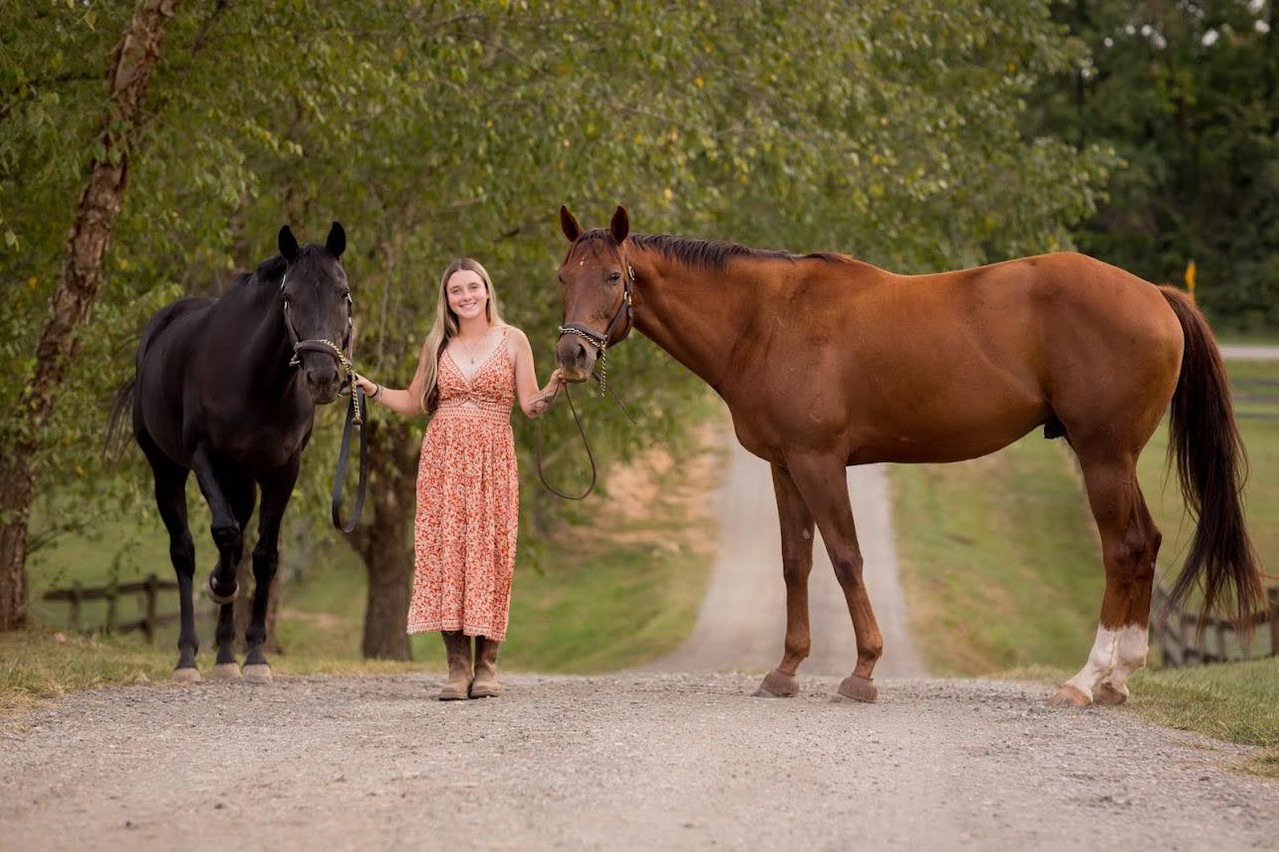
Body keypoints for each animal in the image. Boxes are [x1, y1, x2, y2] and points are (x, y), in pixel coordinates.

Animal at [107, 223, 354, 683]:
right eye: (289, 297)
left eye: (343, 293)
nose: (323, 377)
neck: (257, 382)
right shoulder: (206, 457)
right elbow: (224, 535)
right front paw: (220, 586)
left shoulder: (283, 470)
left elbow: (264, 556)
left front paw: (255, 656)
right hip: (168, 470)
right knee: (185, 552)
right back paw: (188, 656)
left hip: (243, 480)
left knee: (237, 547)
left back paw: (225, 655)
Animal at [553, 205, 1263, 706]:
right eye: (563, 276)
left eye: (613, 276)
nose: (571, 354)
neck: (770, 319)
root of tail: (1155, 294)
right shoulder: (784, 465)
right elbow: (795, 562)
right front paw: (786, 670)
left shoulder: (819, 461)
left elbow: (845, 558)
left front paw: (863, 671)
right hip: (1113, 458)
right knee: (1145, 545)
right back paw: (1119, 679)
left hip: (1104, 456)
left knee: (1123, 548)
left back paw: (1087, 682)